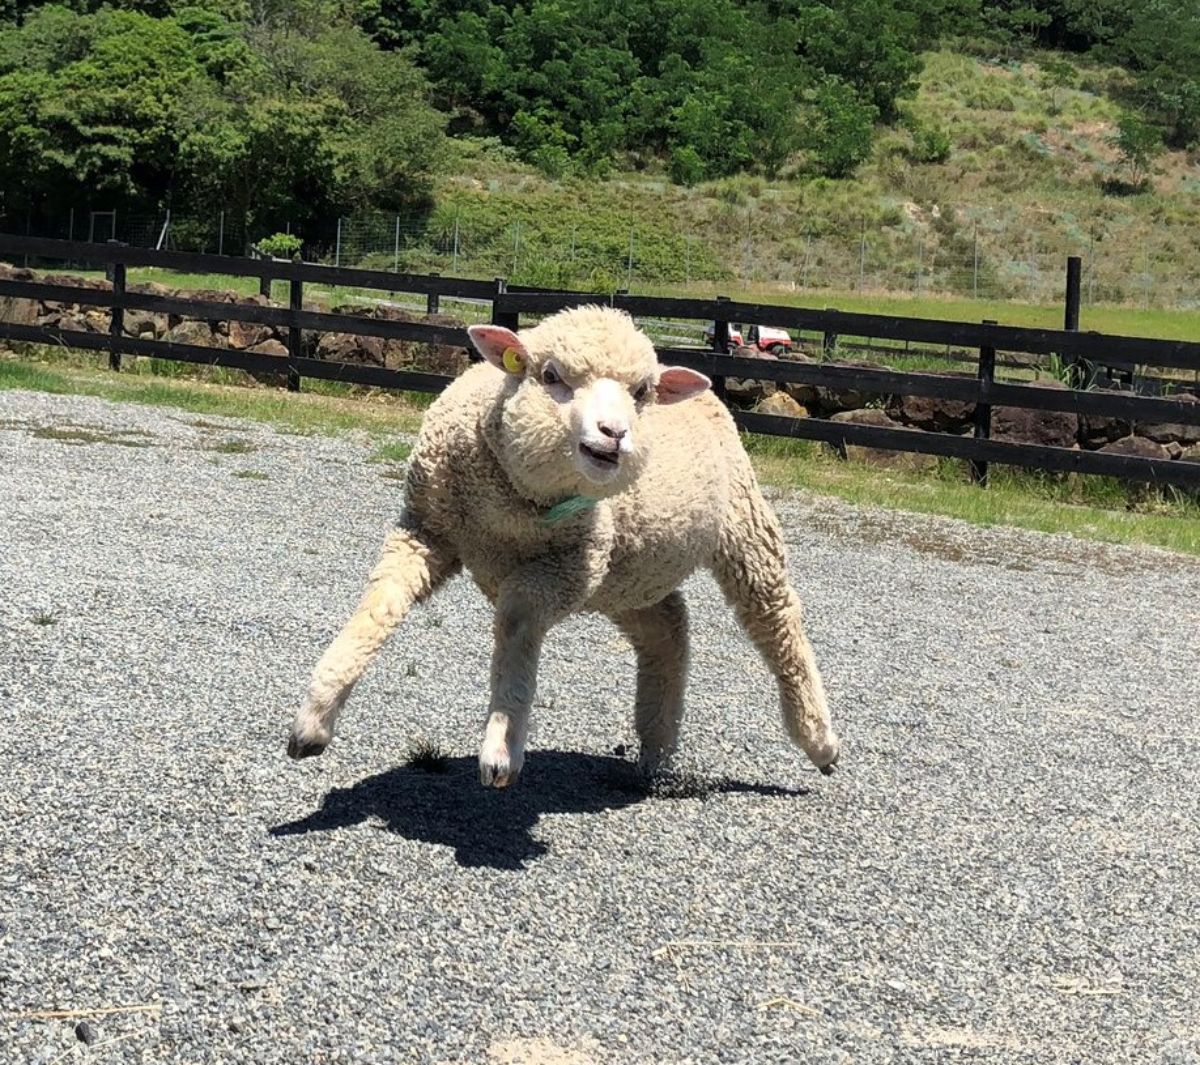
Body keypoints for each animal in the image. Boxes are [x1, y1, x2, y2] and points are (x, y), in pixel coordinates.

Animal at [285, 303, 840, 786]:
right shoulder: (425, 531)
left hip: (742, 528)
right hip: (629, 572)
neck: (511, 505)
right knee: (668, 629)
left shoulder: (570, 566)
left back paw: (819, 741)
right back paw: (657, 748)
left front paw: (502, 744)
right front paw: (314, 719)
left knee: (775, 620)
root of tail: (704, 385)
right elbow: (379, 603)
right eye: (550, 375)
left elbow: (514, 620)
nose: (615, 433)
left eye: (641, 392)